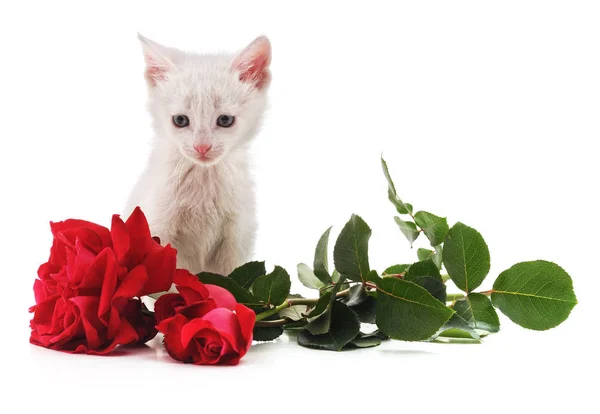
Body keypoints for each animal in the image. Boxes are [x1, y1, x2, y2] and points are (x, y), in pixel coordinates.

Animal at [125, 34, 270, 274]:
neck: (204, 178)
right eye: (180, 120)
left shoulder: (237, 237)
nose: (202, 147)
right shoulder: (158, 229)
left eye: (225, 120)